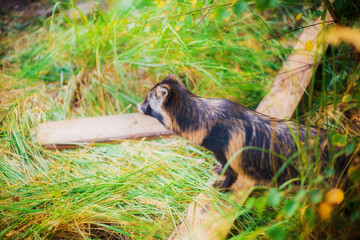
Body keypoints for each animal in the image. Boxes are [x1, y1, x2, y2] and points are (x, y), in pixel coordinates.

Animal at [138, 74, 340, 189]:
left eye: (148, 100)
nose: (137, 106)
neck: (206, 118)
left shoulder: (227, 152)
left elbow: (231, 175)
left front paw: (222, 187)